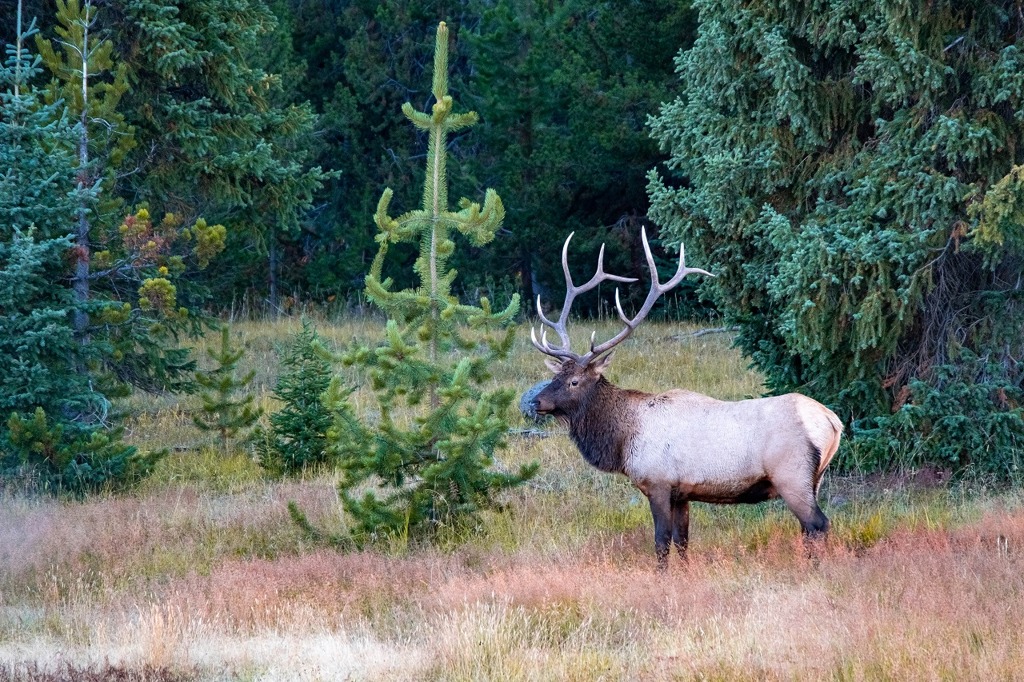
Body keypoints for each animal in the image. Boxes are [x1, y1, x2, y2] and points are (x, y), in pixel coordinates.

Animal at [528, 231, 839, 565]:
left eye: (573, 381)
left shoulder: (658, 483)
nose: (536, 402)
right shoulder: (682, 492)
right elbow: (682, 541)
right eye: (555, 376)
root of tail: (833, 421)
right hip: (814, 479)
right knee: (810, 528)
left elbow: (662, 541)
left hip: (791, 475)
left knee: (817, 524)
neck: (623, 440)